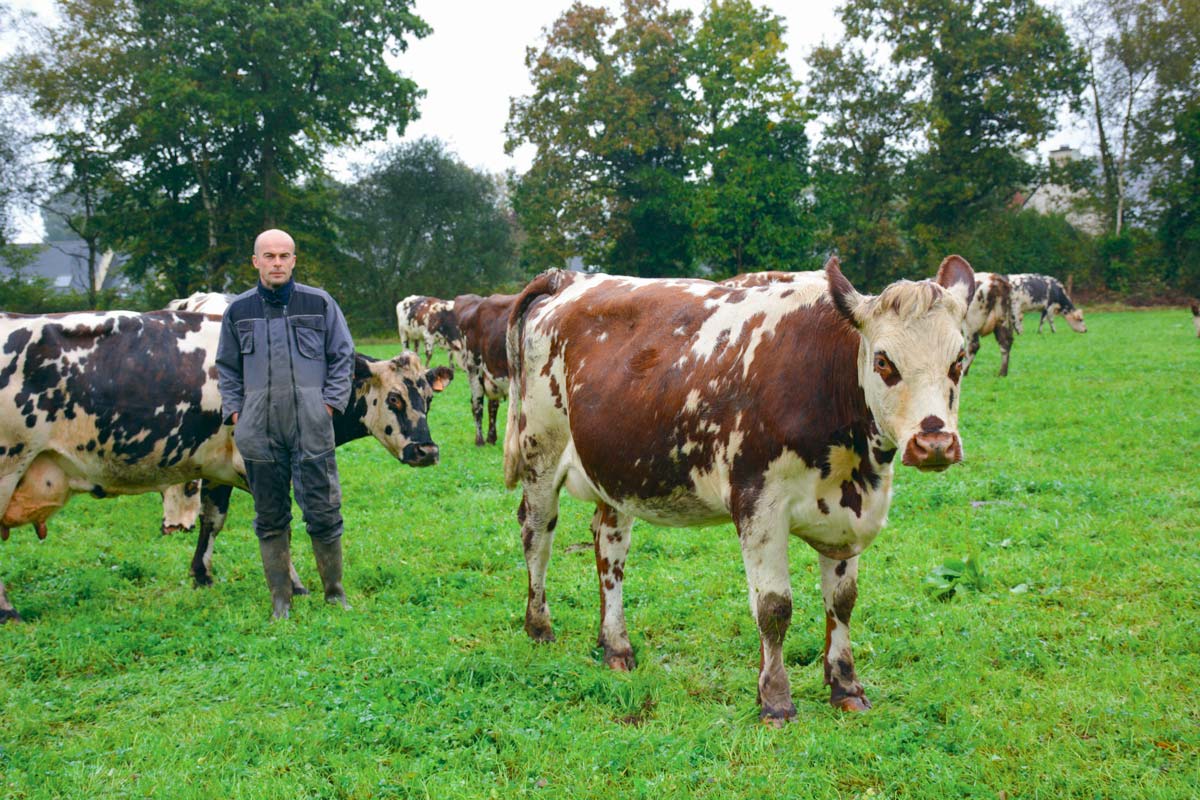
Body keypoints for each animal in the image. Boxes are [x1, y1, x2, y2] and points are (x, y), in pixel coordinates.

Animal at [0, 309, 451, 623]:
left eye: (429, 399)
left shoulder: (217, 466)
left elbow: (212, 521)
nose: (427, 451)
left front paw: (201, 575)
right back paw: (8, 611)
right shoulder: (258, 463)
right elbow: (279, 525)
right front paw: (296, 586)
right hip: (8, 466)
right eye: (394, 399)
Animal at [496, 257, 974, 724]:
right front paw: (775, 700)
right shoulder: (759, 505)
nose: (934, 442)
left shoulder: (846, 512)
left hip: (616, 471)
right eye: (884, 361)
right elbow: (774, 608)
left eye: (959, 361)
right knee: (536, 534)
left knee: (610, 549)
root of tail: (568, 278)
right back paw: (539, 626)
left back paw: (615, 645)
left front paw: (846, 687)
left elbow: (842, 601)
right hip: (540, 451)